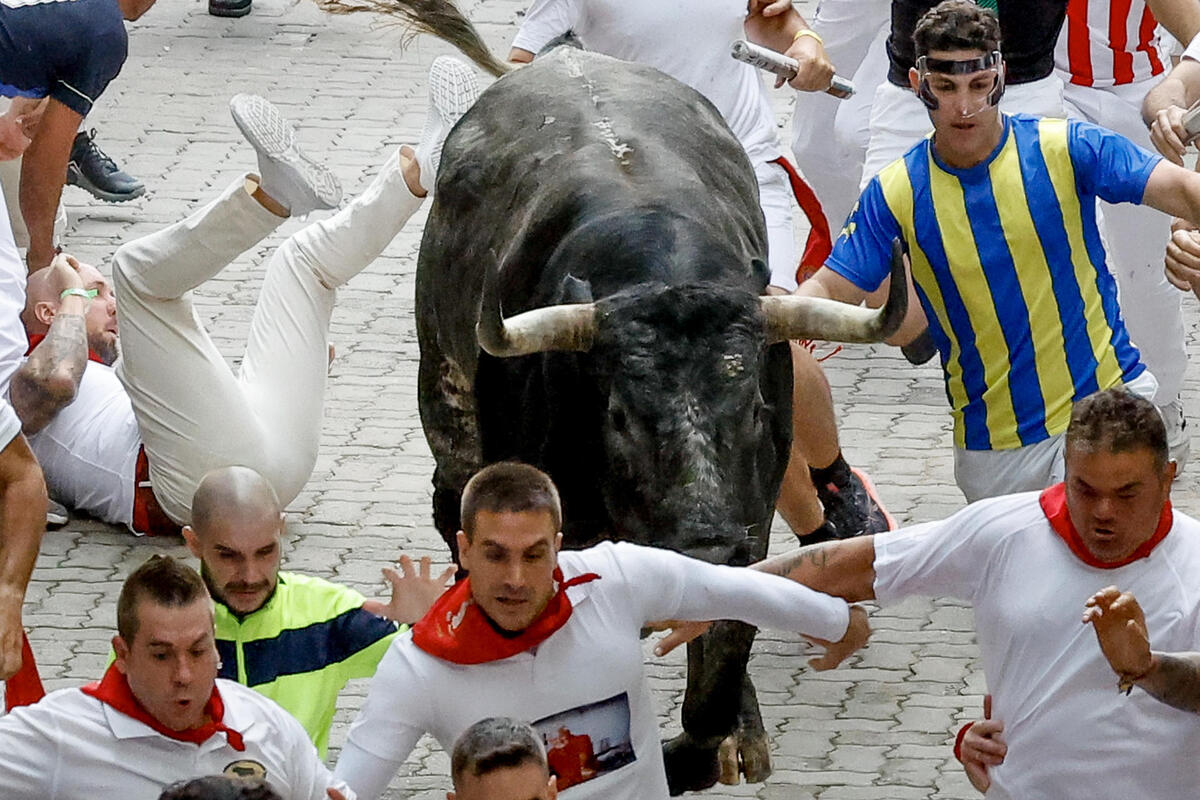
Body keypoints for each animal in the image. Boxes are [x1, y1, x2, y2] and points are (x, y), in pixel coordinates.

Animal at [408, 42, 902, 786]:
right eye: (616, 415)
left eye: (754, 410)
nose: (704, 544)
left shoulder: (750, 530)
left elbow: (718, 668)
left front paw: (717, 739)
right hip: (445, 396)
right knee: (450, 499)